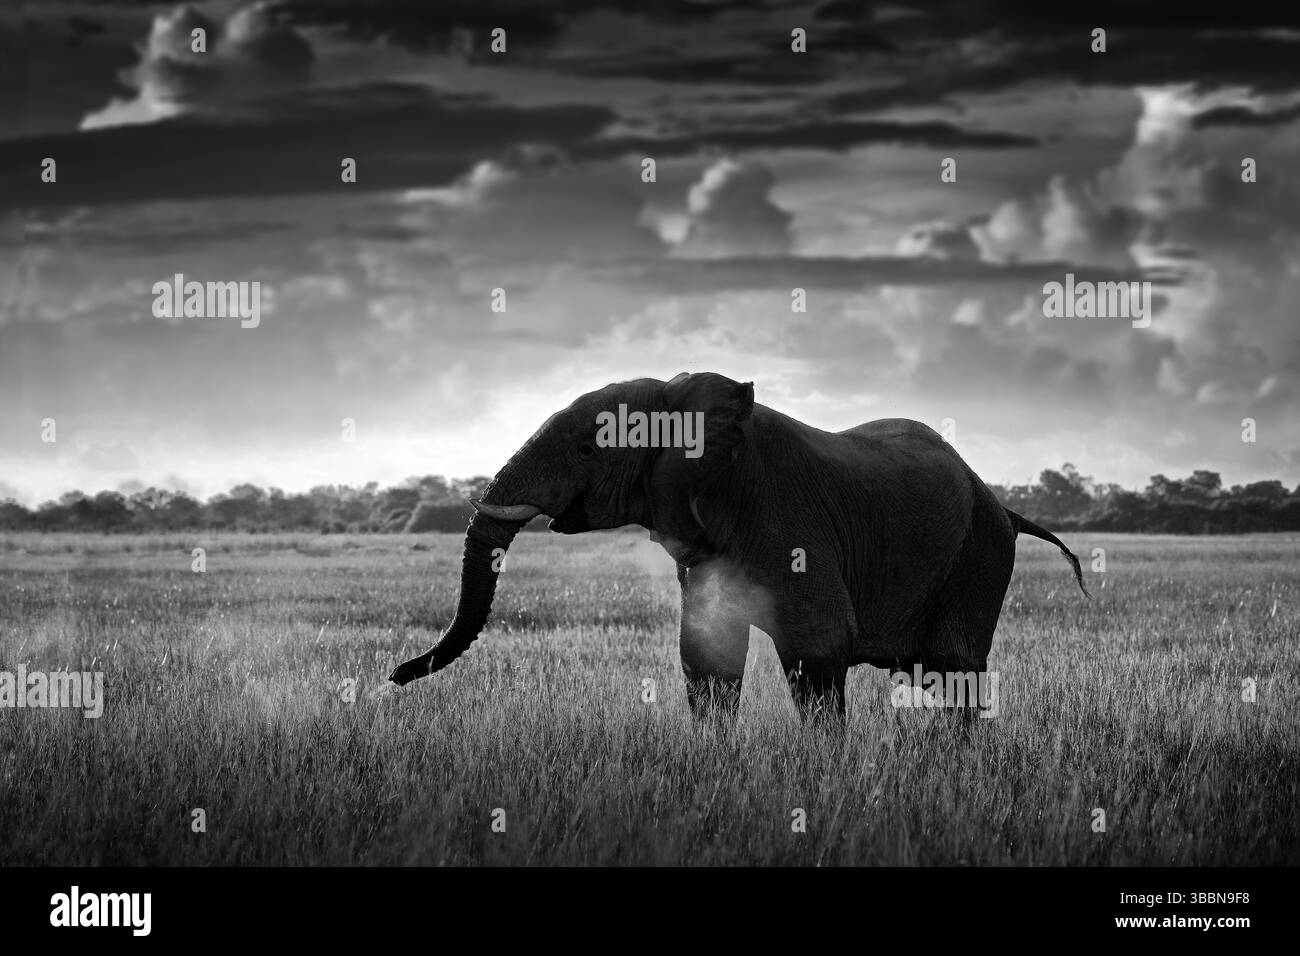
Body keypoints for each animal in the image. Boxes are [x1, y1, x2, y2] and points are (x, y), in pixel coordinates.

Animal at [389, 372, 1086, 725]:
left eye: (588, 448)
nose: (394, 676)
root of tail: (1002, 503)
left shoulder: (789, 519)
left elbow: (819, 648)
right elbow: (708, 657)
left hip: (980, 554)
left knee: (954, 673)